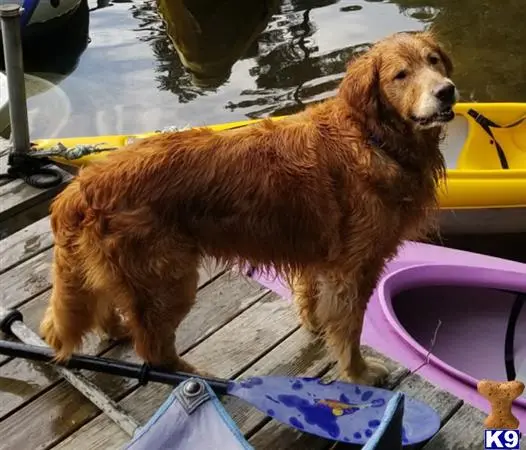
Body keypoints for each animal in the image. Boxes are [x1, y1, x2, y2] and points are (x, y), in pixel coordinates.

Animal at [41, 30, 458, 384]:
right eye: (401, 75)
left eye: (434, 61)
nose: (447, 92)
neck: (372, 137)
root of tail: (81, 187)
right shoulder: (354, 270)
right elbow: (349, 330)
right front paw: (359, 374)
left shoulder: (318, 254)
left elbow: (311, 297)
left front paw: (314, 324)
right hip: (169, 279)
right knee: (155, 350)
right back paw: (196, 378)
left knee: (104, 310)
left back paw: (122, 329)